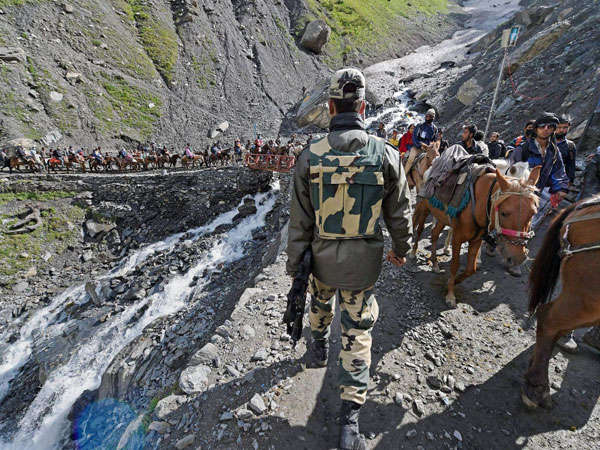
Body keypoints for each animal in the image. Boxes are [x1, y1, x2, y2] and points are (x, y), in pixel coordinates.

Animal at [412, 146, 540, 308]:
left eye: (533, 212)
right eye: (504, 213)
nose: (519, 257)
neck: (478, 201)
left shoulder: (476, 240)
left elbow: (470, 269)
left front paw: (453, 282)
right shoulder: (458, 237)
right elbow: (455, 264)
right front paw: (450, 295)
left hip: (442, 218)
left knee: (434, 234)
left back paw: (435, 263)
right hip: (424, 208)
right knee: (420, 229)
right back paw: (413, 252)